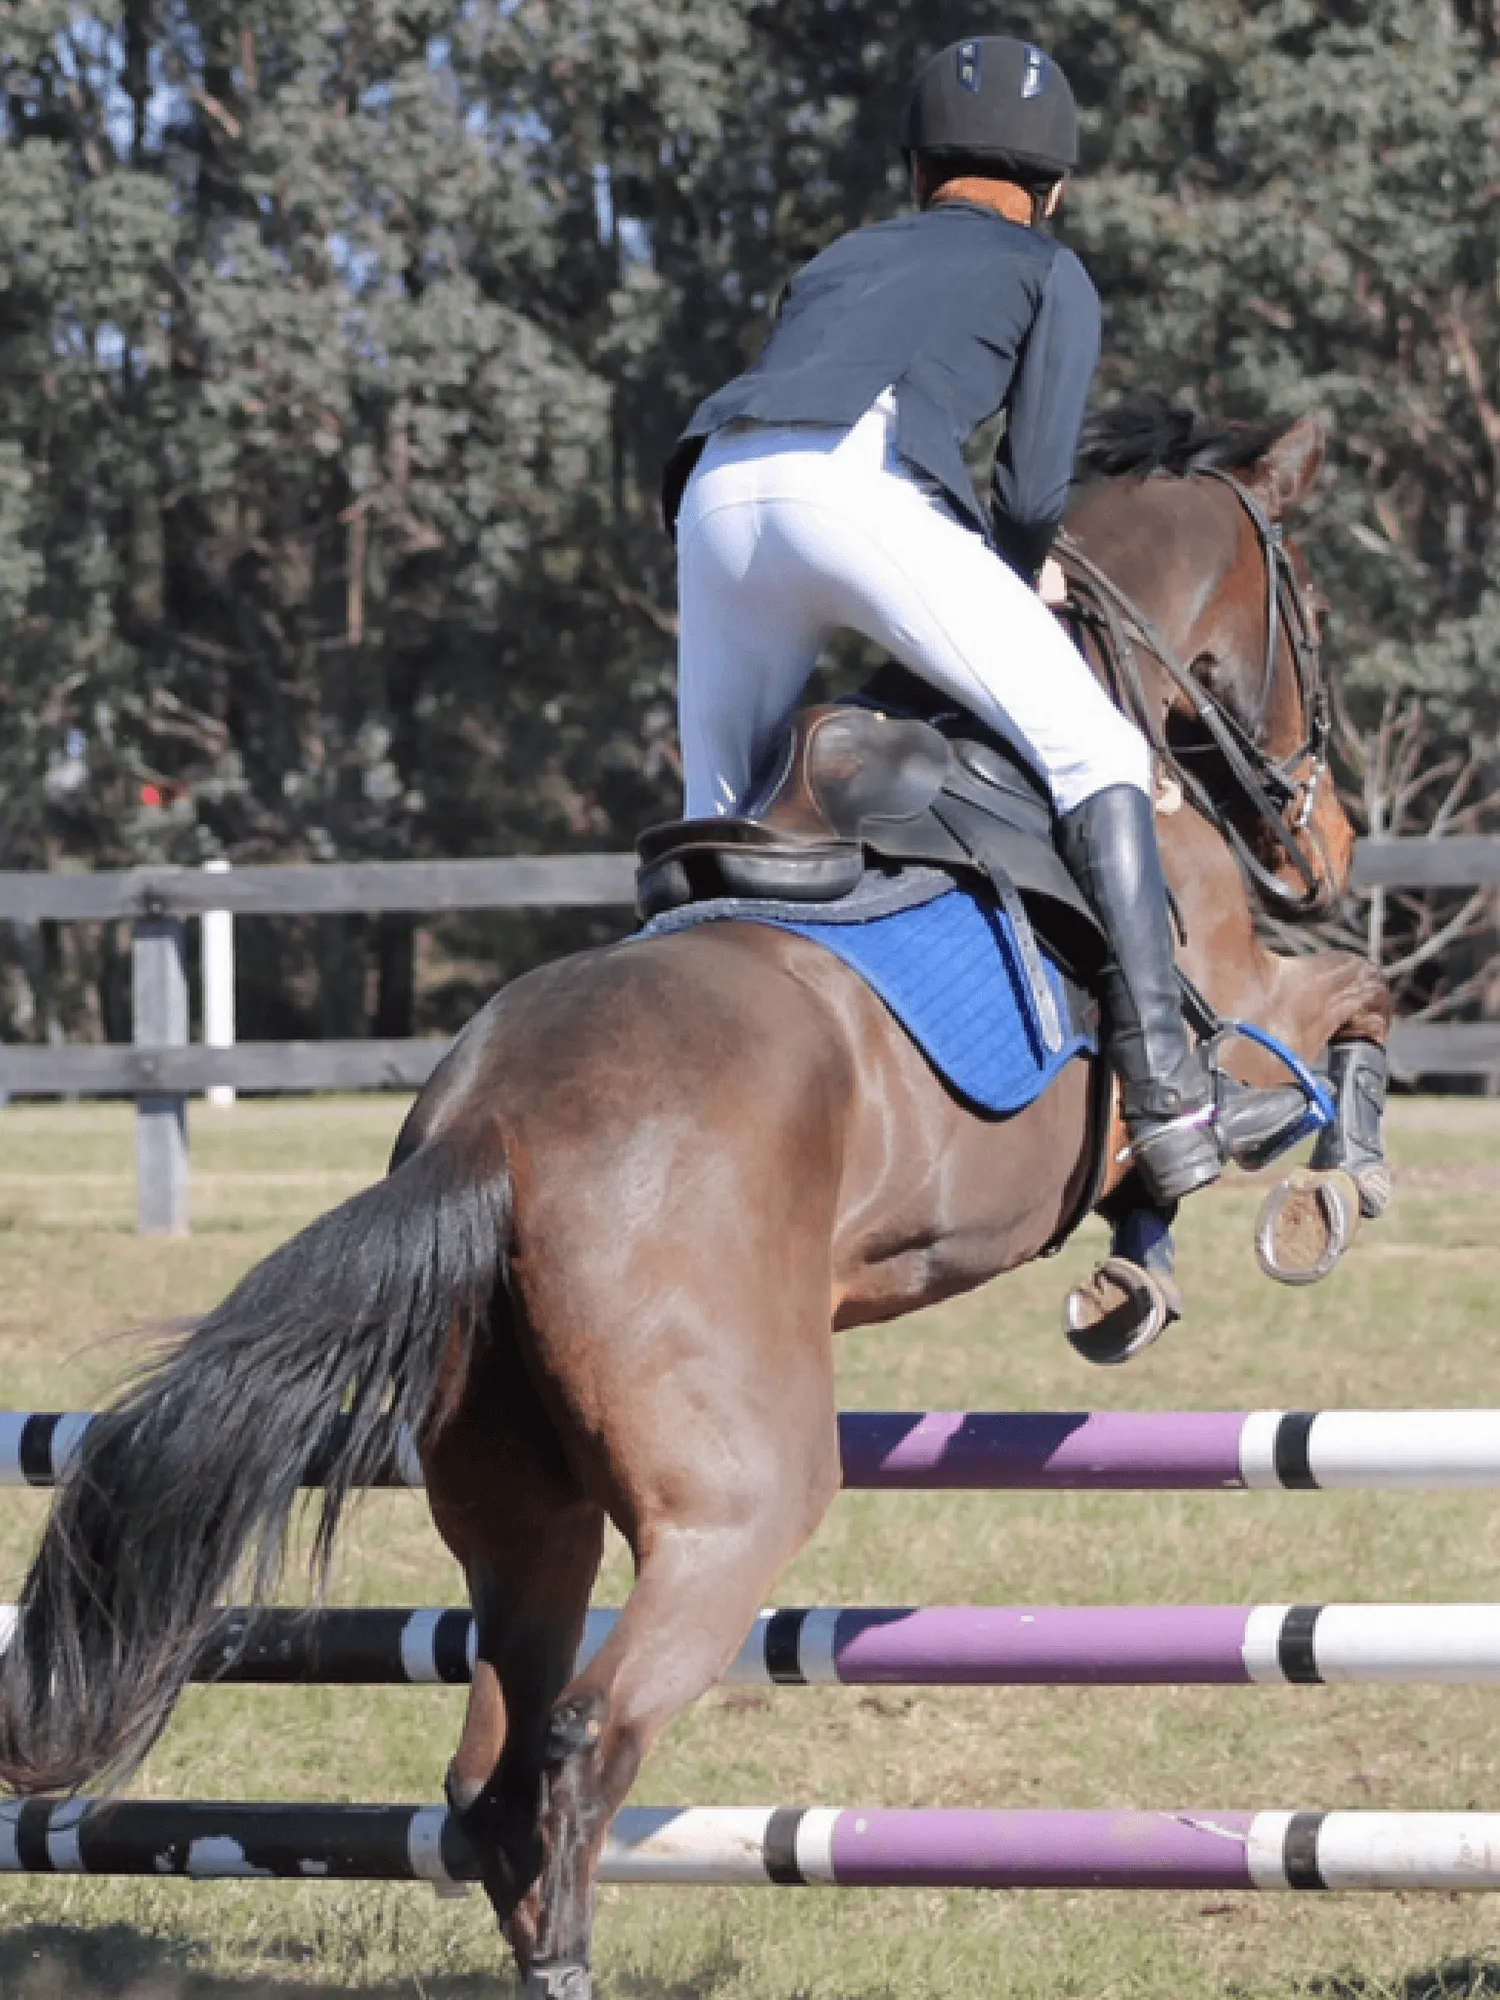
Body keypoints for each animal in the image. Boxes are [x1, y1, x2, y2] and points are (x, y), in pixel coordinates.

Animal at [0, 406, 1400, 2000]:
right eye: (1311, 613)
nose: (1329, 845)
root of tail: (483, 1130)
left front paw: (1136, 1276)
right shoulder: (1243, 1005)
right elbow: (1354, 1005)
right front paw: (1334, 1180)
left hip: (519, 1511)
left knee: (489, 1768)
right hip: (738, 1503)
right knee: (582, 1740)